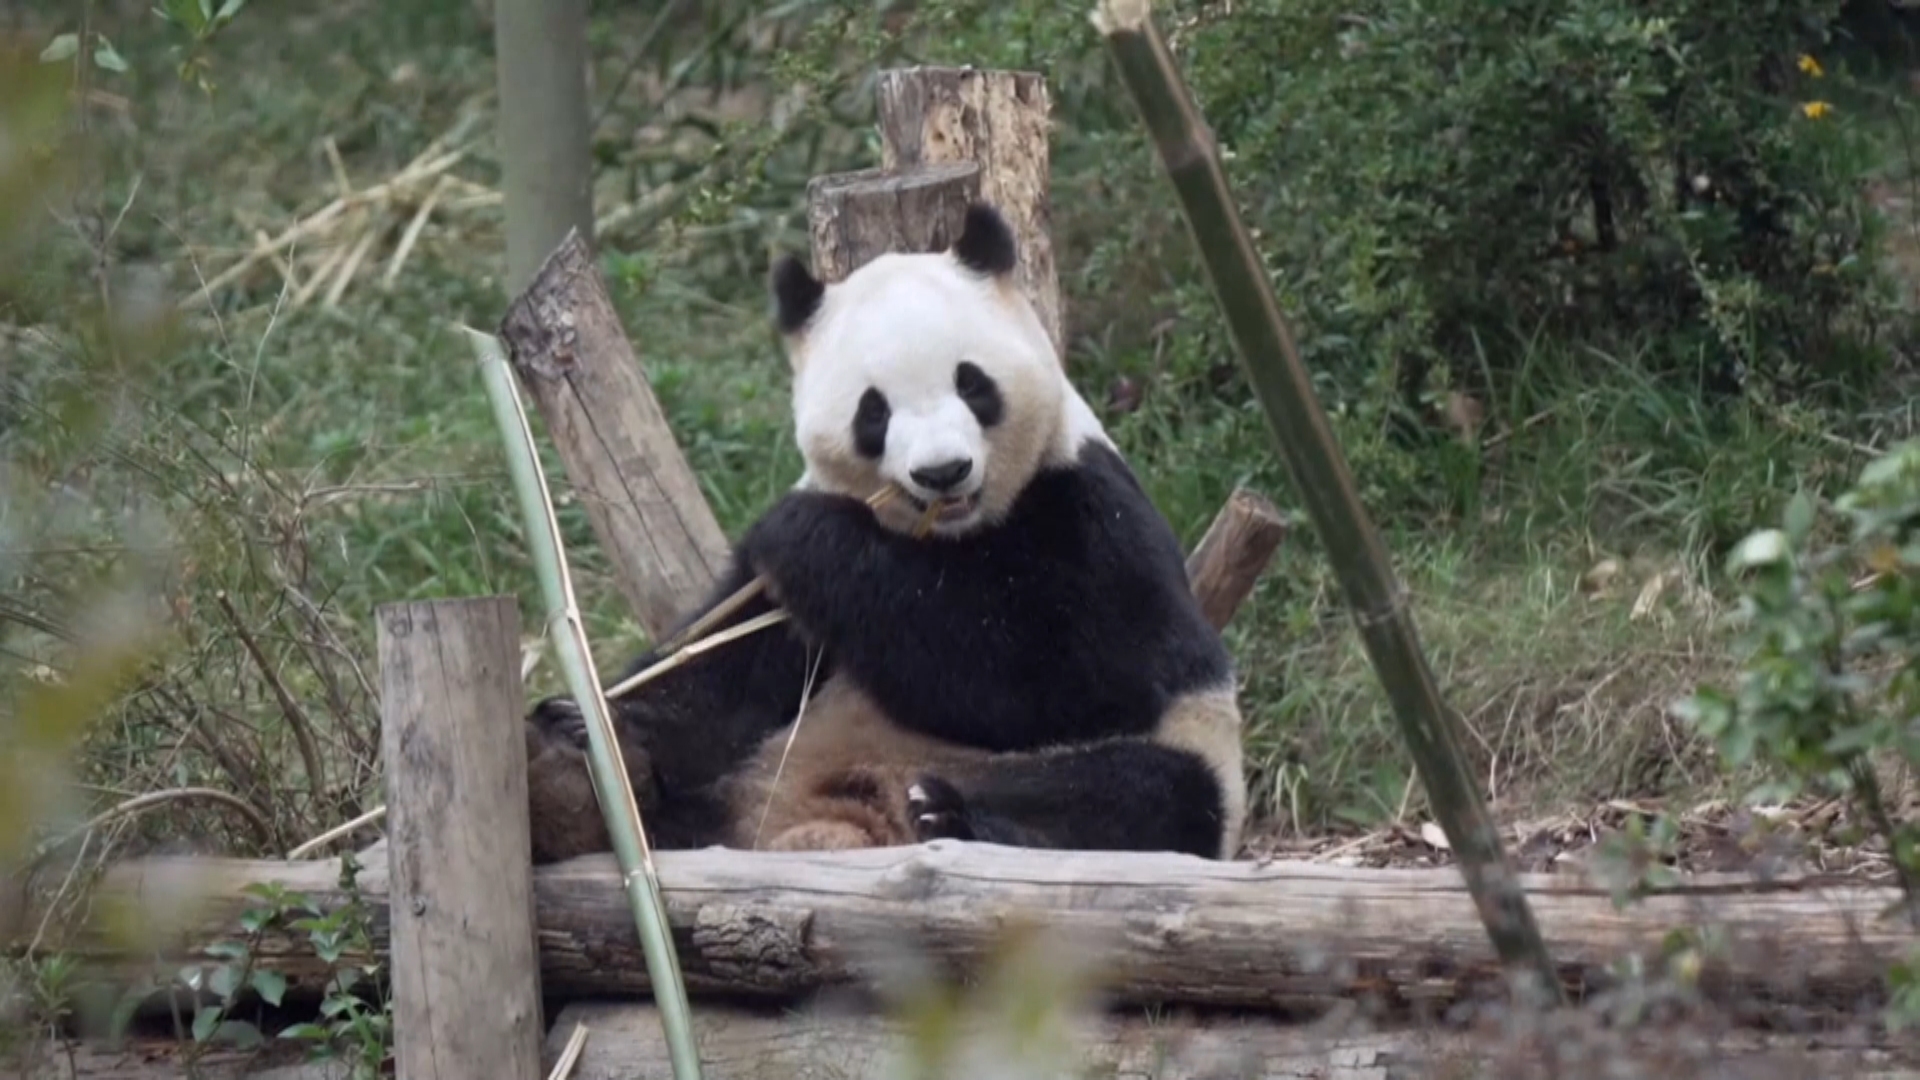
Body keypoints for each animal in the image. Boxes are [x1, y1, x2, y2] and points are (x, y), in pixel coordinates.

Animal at [522, 201, 1247, 866]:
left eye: (972, 382)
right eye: (874, 411)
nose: (943, 472)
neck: (949, 535)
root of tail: (835, 829)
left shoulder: (1090, 512)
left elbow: (1062, 677)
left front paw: (804, 535)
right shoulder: (774, 608)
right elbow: (719, 679)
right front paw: (595, 725)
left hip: (1170, 756)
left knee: (1147, 792)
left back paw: (955, 817)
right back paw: (573, 775)